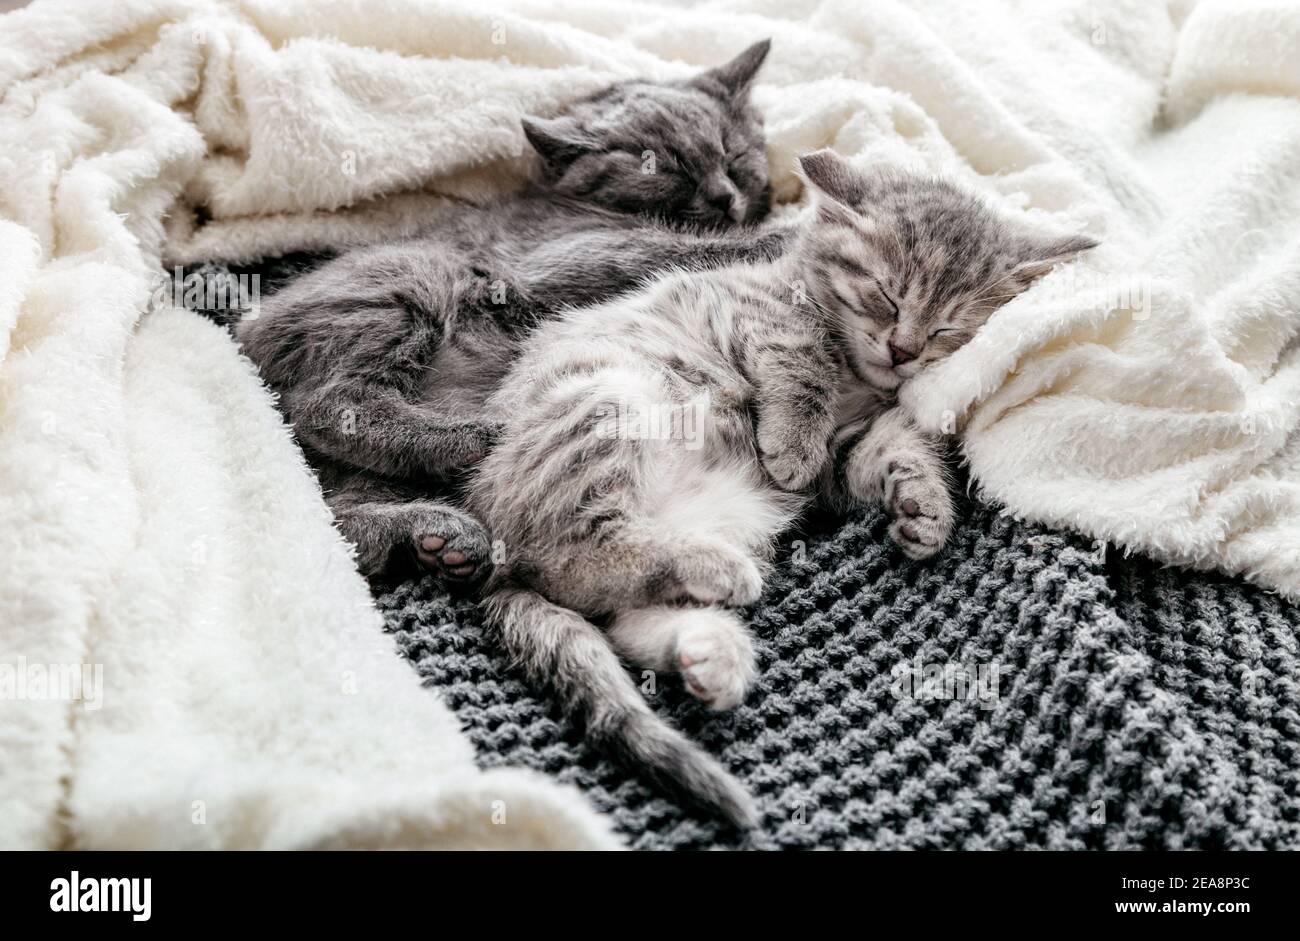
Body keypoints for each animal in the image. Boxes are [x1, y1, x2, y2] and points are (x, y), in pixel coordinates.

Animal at [233, 44, 780, 587]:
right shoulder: (559, 257)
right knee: (328, 404)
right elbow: (678, 248)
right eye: (669, 167)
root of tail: (247, 334)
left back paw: (435, 538)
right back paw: (478, 439)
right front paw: (784, 233)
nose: (724, 196)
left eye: (733, 154)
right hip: (410, 278)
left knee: (339, 523)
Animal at [467, 148, 1097, 821]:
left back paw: (708, 650)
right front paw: (793, 442)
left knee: (616, 614)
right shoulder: (744, 304)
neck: (859, 378)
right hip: (605, 402)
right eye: (885, 296)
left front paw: (925, 505)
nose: (902, 351)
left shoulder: (847, 451)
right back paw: (716, 574)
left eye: (947, 329)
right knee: (568, 557)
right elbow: (802, 356)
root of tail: (490, 538)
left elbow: (889, 448)